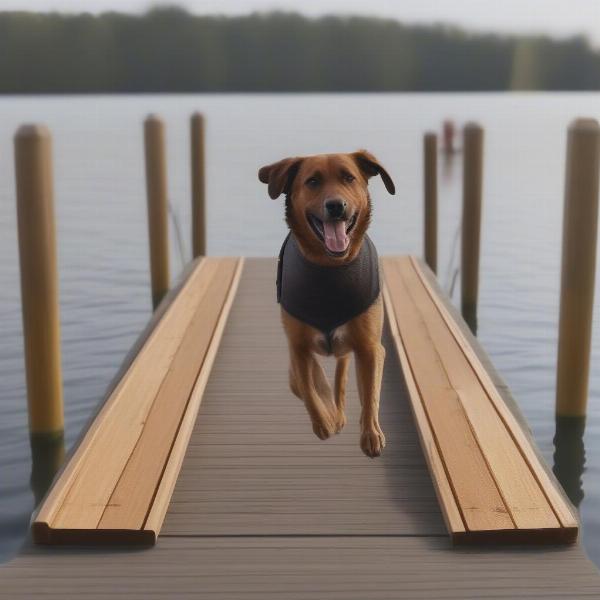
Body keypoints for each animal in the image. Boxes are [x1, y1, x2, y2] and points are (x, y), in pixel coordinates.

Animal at [256, 152, 394, 458]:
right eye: (313, 181)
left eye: (349, 177)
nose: (336, 205)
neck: (330, 268)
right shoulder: (298, 348)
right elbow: (309, 387)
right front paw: (325, 422)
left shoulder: (370, 348)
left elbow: (371, 393)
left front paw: (371, 433)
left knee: (344, 375)